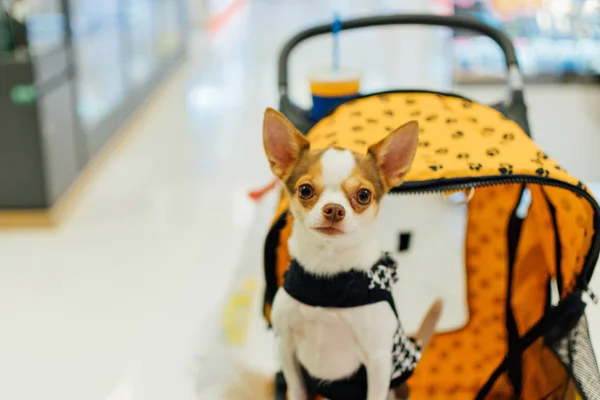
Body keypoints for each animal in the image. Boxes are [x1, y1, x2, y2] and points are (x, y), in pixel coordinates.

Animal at [262, 108, 440, 400]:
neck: (328, 277)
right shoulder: (286, 349)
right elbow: (296, 390)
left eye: (364, 195)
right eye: (305, 190)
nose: (334, 209)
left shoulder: (378, 362)